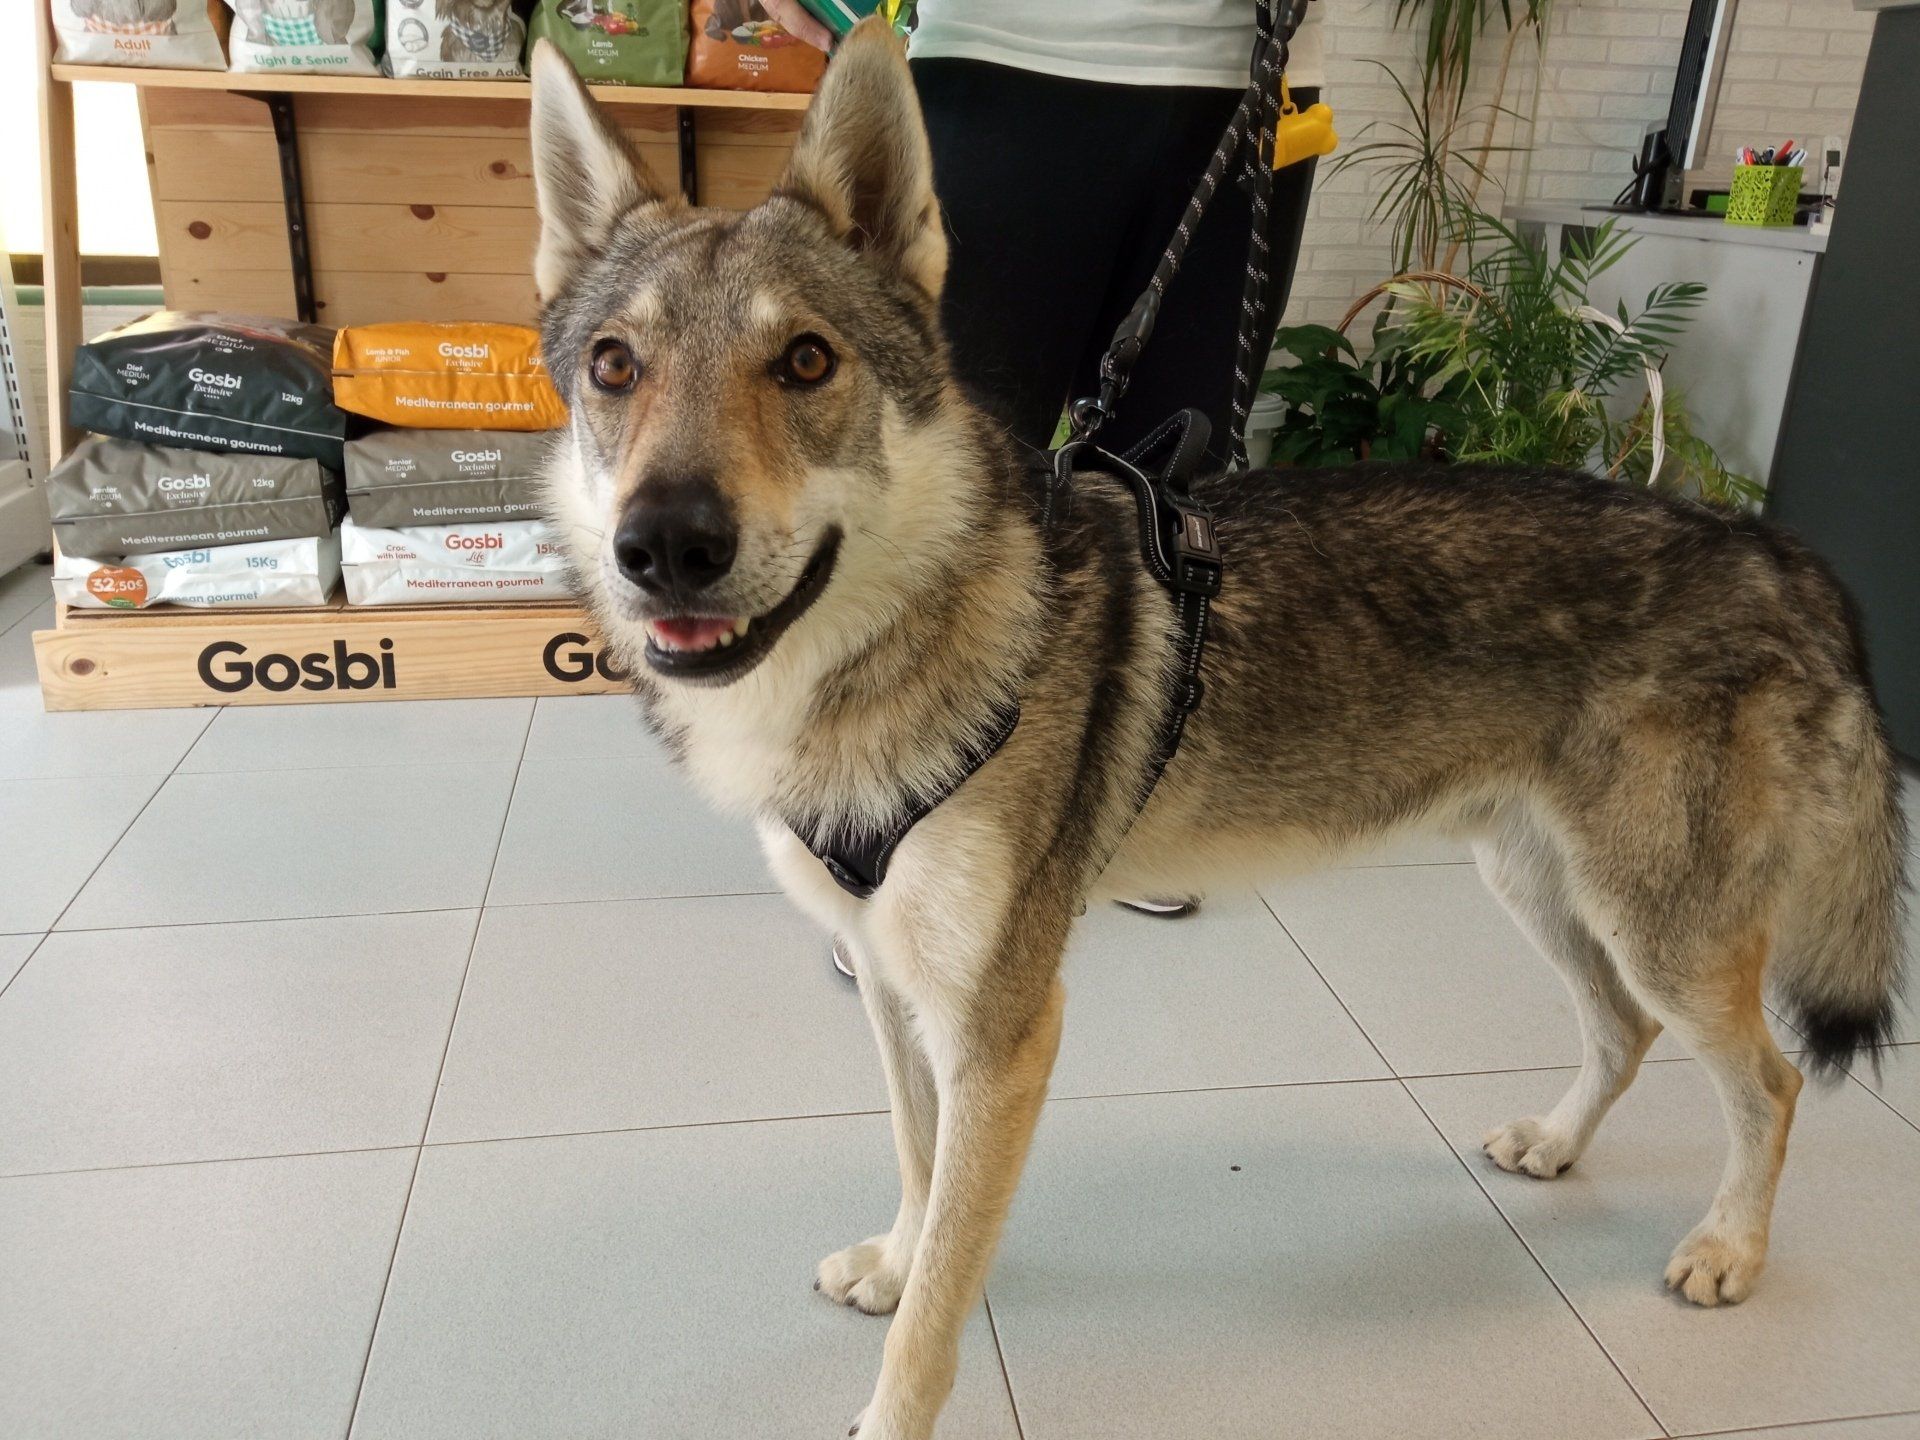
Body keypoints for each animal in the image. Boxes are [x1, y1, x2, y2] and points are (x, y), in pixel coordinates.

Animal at [528, 22, 1907, 1439]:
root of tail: (1776, 547)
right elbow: (918, 1170)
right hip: (1544, 886)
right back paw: (1558, 1145)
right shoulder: (897, 991)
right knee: (1625, 1034)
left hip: (1659, 928)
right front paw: (900, 1259)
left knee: (1772, 1083)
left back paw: (1730, 1249)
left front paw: (897, 1394)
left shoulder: (1004, 1036)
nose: (665, 545)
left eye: (805, 362)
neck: (877, 662)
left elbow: (937, 1309)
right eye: (615, 369)